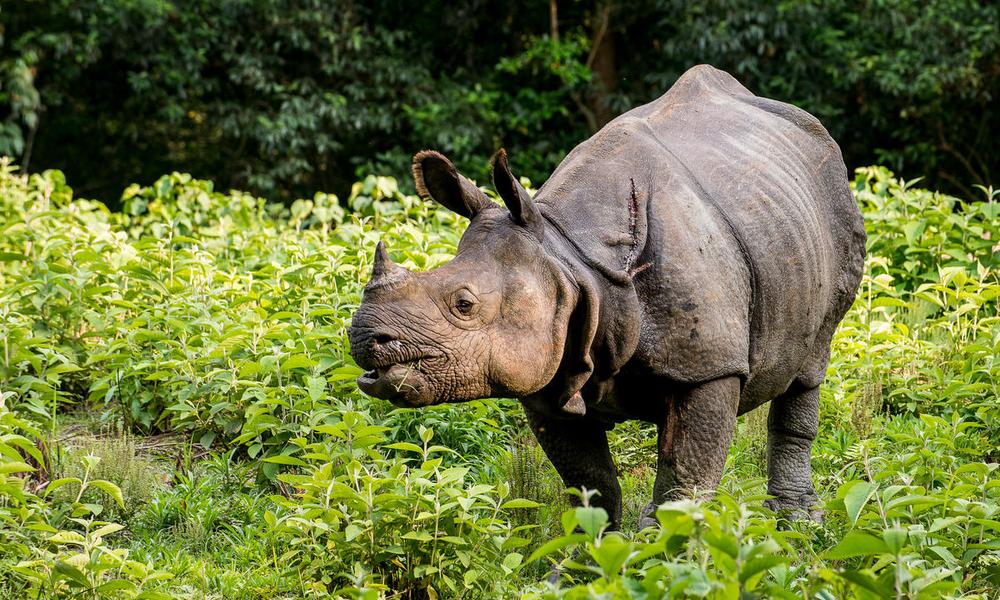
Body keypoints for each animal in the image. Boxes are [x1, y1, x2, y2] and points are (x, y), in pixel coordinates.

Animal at [348, 63, 864, 528]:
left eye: (464, 304)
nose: (364, 338)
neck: (569, 258)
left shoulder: (711, 364)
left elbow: (685, 477)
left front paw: (665, 553)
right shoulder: (551, 373)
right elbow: (591, 485)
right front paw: (587, 558)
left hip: (832, 202)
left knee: (811, 362)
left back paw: (799, 522)